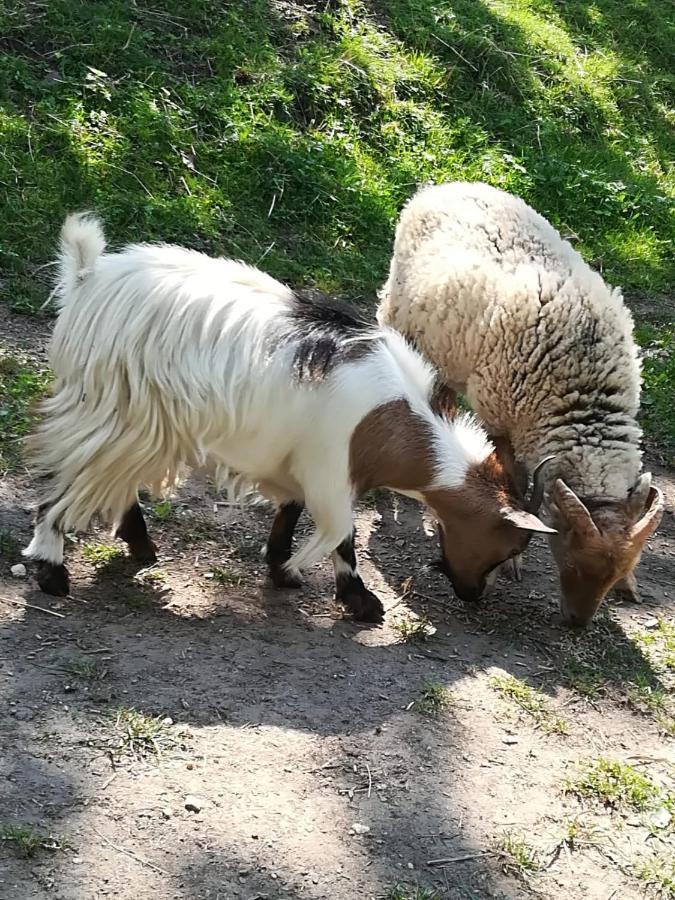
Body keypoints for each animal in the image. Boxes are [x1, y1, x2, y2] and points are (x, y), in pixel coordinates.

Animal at [23, 213, 556, 620]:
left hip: (140, 422)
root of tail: (87, 280)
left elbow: (293, 509)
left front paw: (279, 565)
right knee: (66, 483)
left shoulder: (300, 460)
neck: (393, 416)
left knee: (112, 480)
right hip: (118, 412)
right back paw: (51, 569)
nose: (472, 594)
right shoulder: (330, 467)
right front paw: (356, 598)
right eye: (512, 547)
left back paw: (139, 546)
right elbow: (341, 533)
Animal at [378, 179, 668, 624]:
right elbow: (512, 478)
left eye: (622, 569)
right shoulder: (501, 416)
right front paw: (512, 559)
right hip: (396, 311)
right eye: (569, 558)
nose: (577, 623)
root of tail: (448, 185)